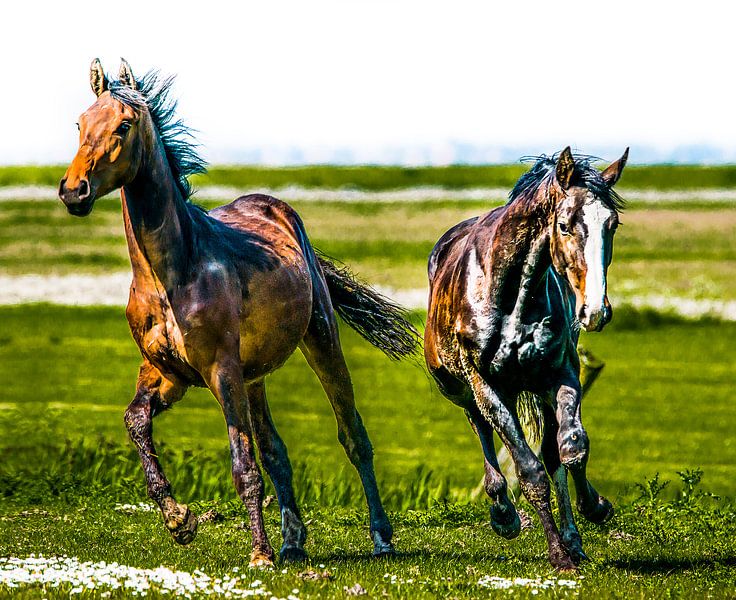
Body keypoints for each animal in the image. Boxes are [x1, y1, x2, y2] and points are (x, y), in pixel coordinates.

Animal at [58, 59, 419, 567]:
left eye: (123, 125)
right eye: (79, 123)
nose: (74, 191)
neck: (171, 274)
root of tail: (280, 211)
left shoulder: (220, 371)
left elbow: (243, 465)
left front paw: (258, 553)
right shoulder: (166, 374)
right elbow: (136, 423)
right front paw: (180, 520)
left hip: (319, 341)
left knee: (354, 437)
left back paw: (380, 538)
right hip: (255, 378)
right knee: (278, 453)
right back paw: (292, 542)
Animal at [424, 147, 628, 570]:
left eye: (612, 224)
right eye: (565, 225)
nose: (594, 312)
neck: (510, 297)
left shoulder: (560, 373)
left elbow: (570, 449)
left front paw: (594, 510)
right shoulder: (486, 385)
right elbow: (530, 472)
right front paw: (557, 555)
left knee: (552, 453)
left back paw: (573, 539)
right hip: (464, 390)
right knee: (482, 431)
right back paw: (503, 514)